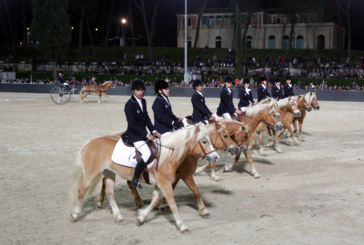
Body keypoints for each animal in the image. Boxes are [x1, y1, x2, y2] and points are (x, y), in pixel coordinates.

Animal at [70, 124, 219, 234]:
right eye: (204, 141)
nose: (216, 157)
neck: (169, 155)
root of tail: (89, 143)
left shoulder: (161, 184)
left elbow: (155, 201)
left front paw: (141, 217)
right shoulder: (166, 183)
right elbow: (172, 204)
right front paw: (182, 226)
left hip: (109, 173)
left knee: (110, 193)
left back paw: (119, 217)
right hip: (91, 174)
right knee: (81, 191)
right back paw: (76, 215)